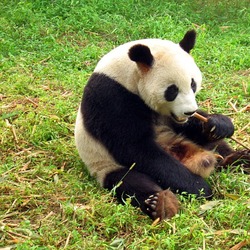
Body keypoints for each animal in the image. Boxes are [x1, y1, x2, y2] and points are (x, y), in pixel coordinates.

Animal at [74, 30, 250, 221]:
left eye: (193, 84)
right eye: (172, 90)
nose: (189, 111)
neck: (127, 75)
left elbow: (189, 126)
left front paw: (218, 125)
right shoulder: (111, 97)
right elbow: (135, 147)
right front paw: (199, 187)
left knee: (217, 146)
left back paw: (239, 159)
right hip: (104, 164)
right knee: (130, 182)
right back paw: (161, 204)